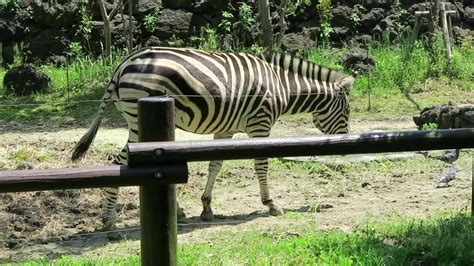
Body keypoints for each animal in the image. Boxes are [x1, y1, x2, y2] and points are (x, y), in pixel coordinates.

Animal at [69, 47, 352, 231]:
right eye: (348, 111)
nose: (348, 143)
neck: (280, 86)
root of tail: (122, 65)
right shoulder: (259, 124)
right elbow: (261, 164)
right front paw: (271, 204)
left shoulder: (226, 129)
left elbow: (216, 163)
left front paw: (206, 208)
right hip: (139, 122)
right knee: (118, 163)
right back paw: (109, 221)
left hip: (138, 124)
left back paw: (175, 212)